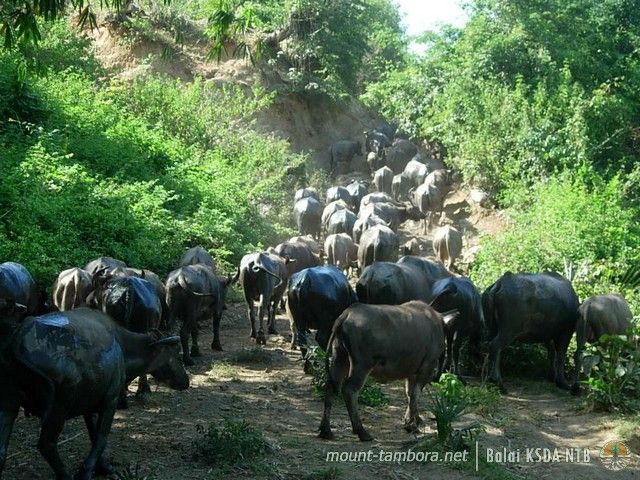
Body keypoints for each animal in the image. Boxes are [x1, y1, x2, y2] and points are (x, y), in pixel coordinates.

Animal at [0, 308, 188, 480]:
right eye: (176, 354)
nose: (186, 381)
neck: (122, 347)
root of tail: (20, 335)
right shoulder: (111, 399)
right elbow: (101, 437)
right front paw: (87, 471)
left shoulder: (89, 405)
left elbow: (93, 433)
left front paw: (103, 466)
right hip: (58, 408)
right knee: (46, 444)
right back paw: (66, 475)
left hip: (9, 403)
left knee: (2, 448)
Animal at [318, 302, 450, 440]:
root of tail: (346, 314)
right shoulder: (426, 367)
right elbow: (415, 394)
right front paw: (412, 425)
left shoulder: (412, 373)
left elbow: (410, 394)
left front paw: (411, 421)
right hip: (362, 365)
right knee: (349, 390)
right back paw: (361, 431)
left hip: (339, 358)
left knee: (330, 387)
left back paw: (326, 430)